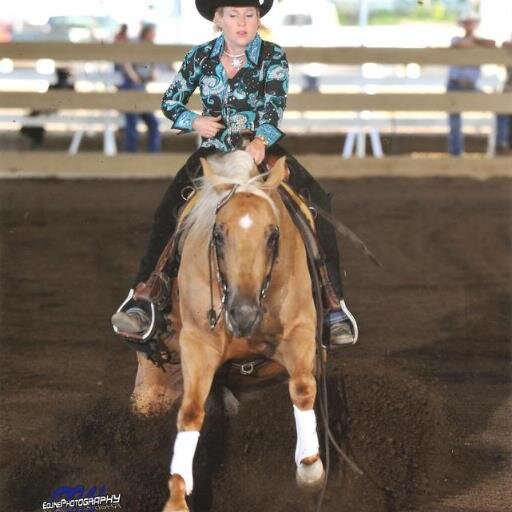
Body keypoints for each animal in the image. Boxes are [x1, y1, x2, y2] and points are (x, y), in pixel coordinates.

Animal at [134, 152, 324, 512]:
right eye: (218, 235)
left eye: (273, 235)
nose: (243, 314)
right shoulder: (197, 343)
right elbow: (191, 412)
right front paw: (177, 499)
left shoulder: (300, 332)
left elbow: (304, 389)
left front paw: (310, 467)